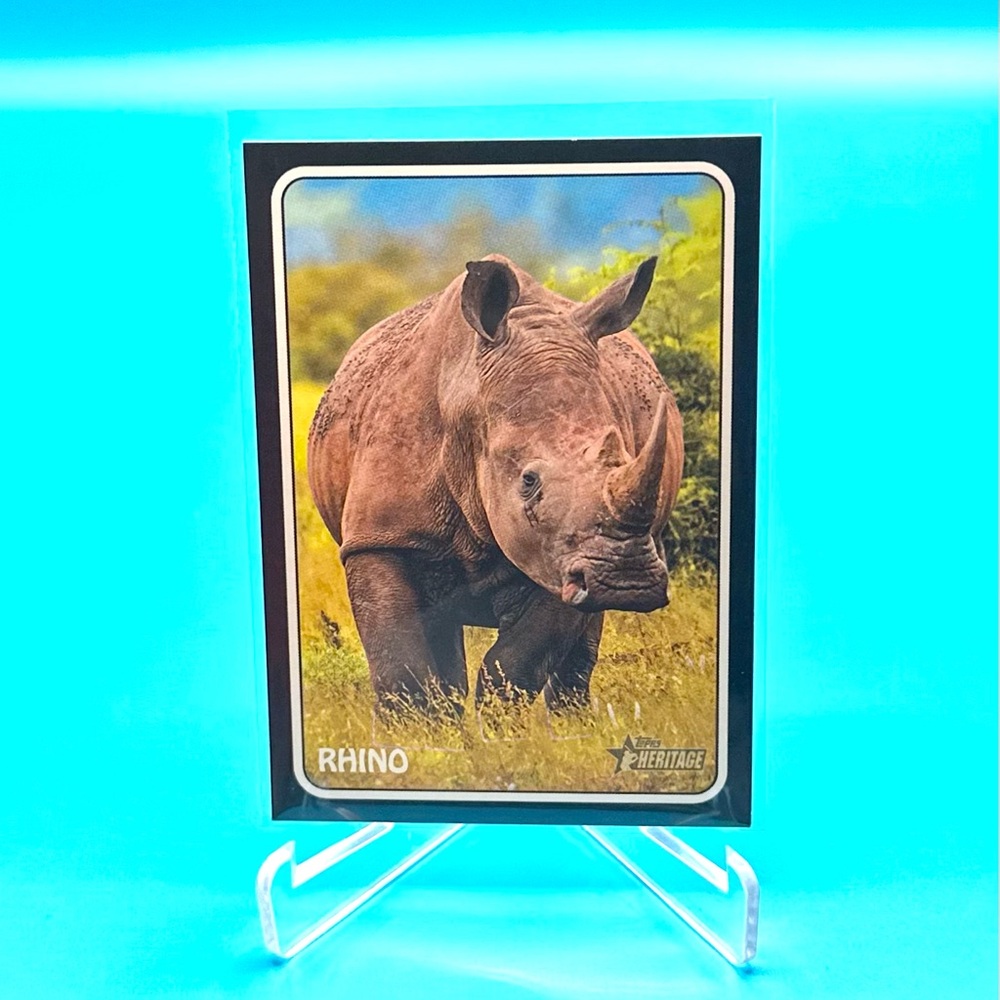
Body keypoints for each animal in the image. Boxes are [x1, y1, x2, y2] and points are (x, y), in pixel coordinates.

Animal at [307, 254, 684, 715]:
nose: (628, 580)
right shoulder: (379, 537)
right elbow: (401, 667)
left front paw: (500, 727)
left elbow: (516, 664)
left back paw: (572, 723)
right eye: (529, 481)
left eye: (624, 457)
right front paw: (418, 731)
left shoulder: (557, 553)